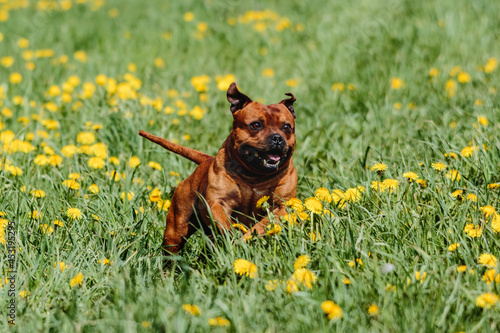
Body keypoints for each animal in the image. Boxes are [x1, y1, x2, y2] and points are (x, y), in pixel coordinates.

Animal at [140, 83, 296, 254]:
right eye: (256, 125)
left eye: (287, 128)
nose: (277, 138)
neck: (255, 176)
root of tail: (206, 160)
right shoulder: (218, 203)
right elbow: (225, 223)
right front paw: (233, 235)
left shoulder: (282, 207)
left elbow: (262, 225)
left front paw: (245, 238)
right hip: (176, 229)